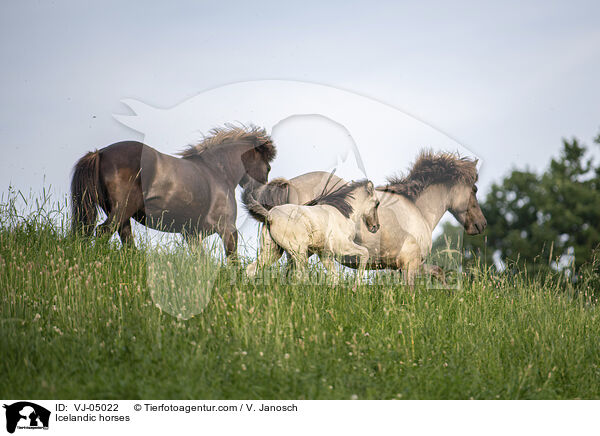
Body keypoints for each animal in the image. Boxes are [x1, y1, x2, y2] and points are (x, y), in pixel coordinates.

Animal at [71, 124, 276, 258]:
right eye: (268, 168)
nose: (260, 198)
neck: (217, 171)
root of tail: (100, 153)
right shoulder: (227, 229)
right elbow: (233, 261)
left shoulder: (191, 235)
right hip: (122, 210)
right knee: (103, 232)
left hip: (120, 215)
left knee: (126, 242)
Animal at [243, 179, 380, 282]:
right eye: (377, 203)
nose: (376, 226)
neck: (343, 214)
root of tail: (270, 215)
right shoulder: (342, 247)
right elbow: (365, 253)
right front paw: (356, 286)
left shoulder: (325, 254)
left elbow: (334, 277)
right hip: (299, 253)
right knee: (300, 276)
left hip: (272, 252)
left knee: (251, 269)